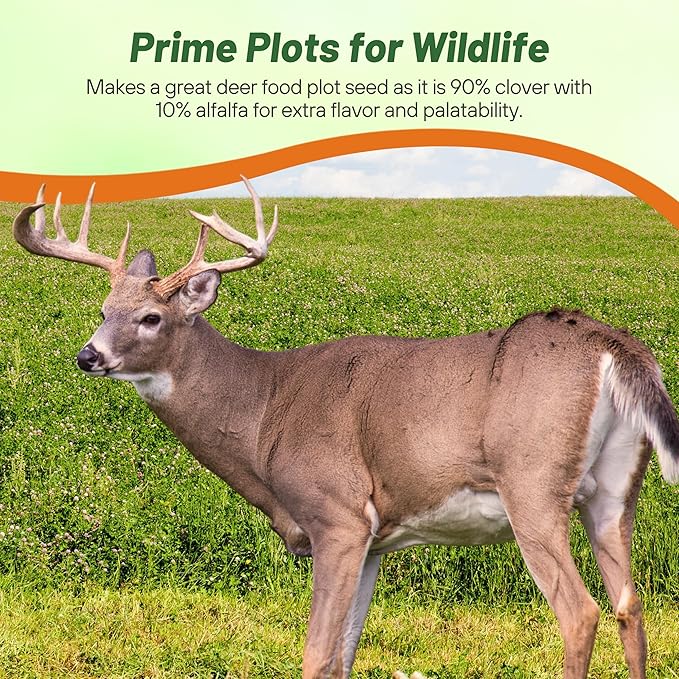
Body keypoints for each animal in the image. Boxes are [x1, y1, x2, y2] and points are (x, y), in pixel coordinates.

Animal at [12, 179, 679, 679]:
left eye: (151, 317)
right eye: (104, 311)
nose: (88, 356)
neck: (264, 412)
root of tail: (616, 347)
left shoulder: (336, 515)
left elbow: (315, 657)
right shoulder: (375, 540)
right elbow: (343, 657)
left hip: (532, 481)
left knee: (581, 613)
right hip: (614, 489)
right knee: (630, 605)